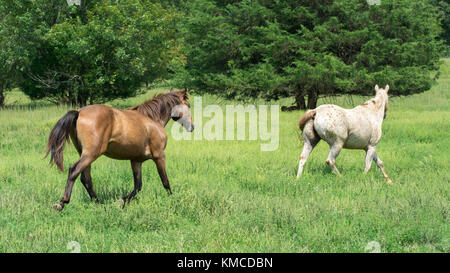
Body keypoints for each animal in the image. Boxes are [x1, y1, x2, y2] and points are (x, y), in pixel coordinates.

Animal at [45, 89, 193, 210]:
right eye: (188, 105)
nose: (192, 127)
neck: (153, 120)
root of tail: (79, 112)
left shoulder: (136, 160)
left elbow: (138, 186)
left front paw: (121, 202)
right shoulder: (159, 156)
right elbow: (165, 181)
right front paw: (173, 200)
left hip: (85, 154)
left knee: (86, 179)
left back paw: (98, 204)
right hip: (92, 153)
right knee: (74, 171)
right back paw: (62, 203)